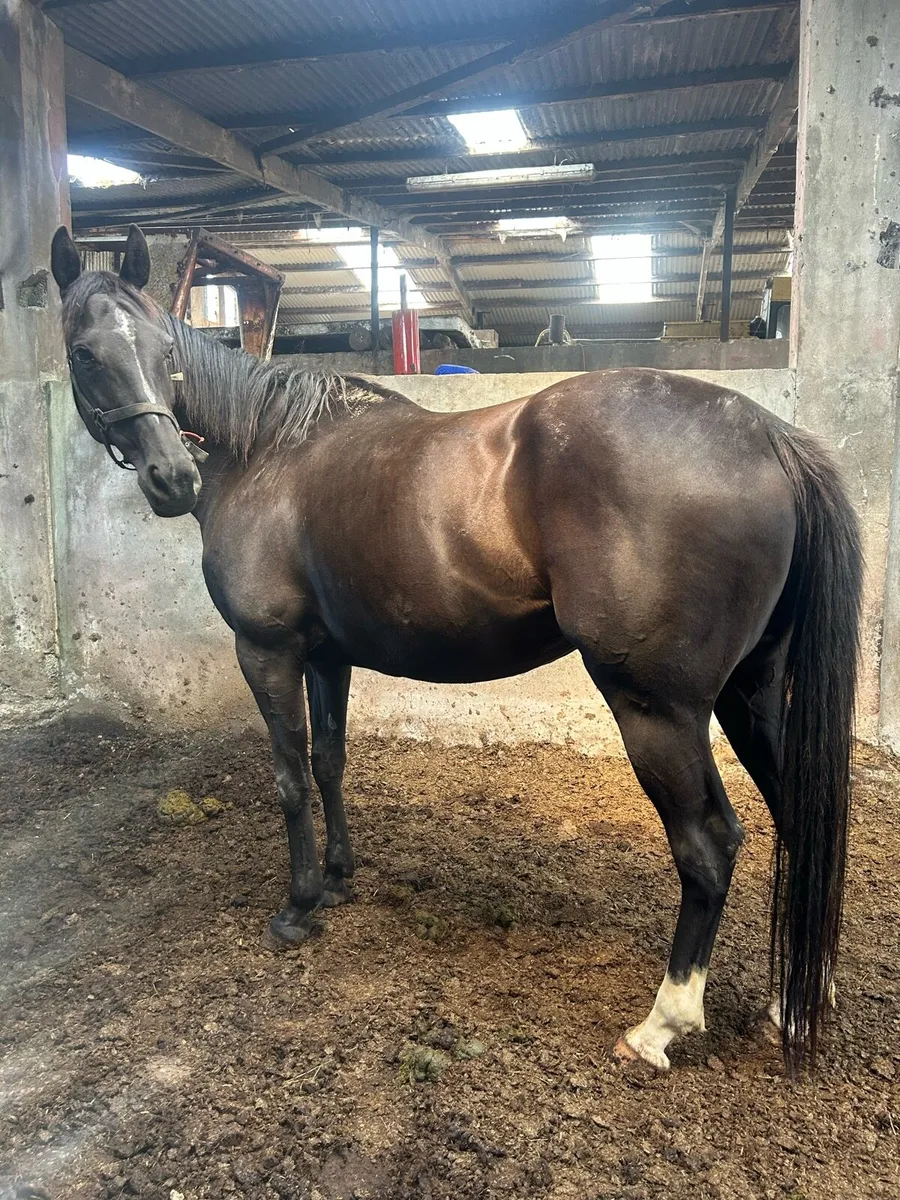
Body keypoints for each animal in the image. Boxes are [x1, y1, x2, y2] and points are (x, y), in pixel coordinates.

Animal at [51, 224, 862, 1073]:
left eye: (160, 348)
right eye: (87, 351)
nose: (171, 476)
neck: (266, 452)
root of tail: (767, 434)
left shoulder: (266, 651)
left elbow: (289, 778)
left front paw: (298, 907)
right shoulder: (325, 656)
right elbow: (329, 761)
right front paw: (338, 878)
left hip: (660, 711)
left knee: (709, 846)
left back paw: (661, 1024)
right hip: (752, 694)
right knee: (801, 816)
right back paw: (796, 999)